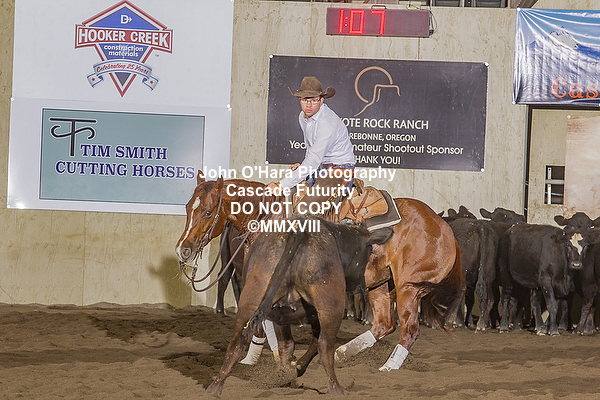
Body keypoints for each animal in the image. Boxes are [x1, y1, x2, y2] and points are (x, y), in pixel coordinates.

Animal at [176, 172, 463, 373]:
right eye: (188, 207)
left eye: (208, 211)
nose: (183, 250)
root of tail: (444, 227)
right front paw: (256, 358)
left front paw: (277, 357)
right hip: (379, 283)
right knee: (384, 324)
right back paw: (342, 353)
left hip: (408, 288)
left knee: (409, 329)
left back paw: (388, 366)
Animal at [205, 216, 393, 395]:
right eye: (368, 252)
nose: (362, 285)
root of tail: (297, 231)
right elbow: (314, 342)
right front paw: (298, 367)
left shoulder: (281, 315)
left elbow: (287, 345)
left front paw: (286, 373)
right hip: (331, 306)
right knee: (325, 347)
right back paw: (336, 389)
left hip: (251, 298)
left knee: (236, 343)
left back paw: (214, 388)